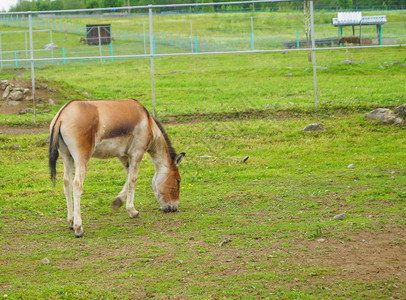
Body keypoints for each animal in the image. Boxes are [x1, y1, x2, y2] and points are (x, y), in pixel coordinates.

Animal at [48, 99, 186, 238]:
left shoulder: (123, 156)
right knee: (77, 185)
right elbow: (133, 180)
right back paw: (78, 228)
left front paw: (118, 202)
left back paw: (71, 222)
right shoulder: (137, 153)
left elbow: (128, 178)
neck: (148, 121)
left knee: (67, 183)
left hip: (67, 156)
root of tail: (63, 113)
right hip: (81, 158)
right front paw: (132, 211)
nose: (174, 208)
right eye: (178, 180)